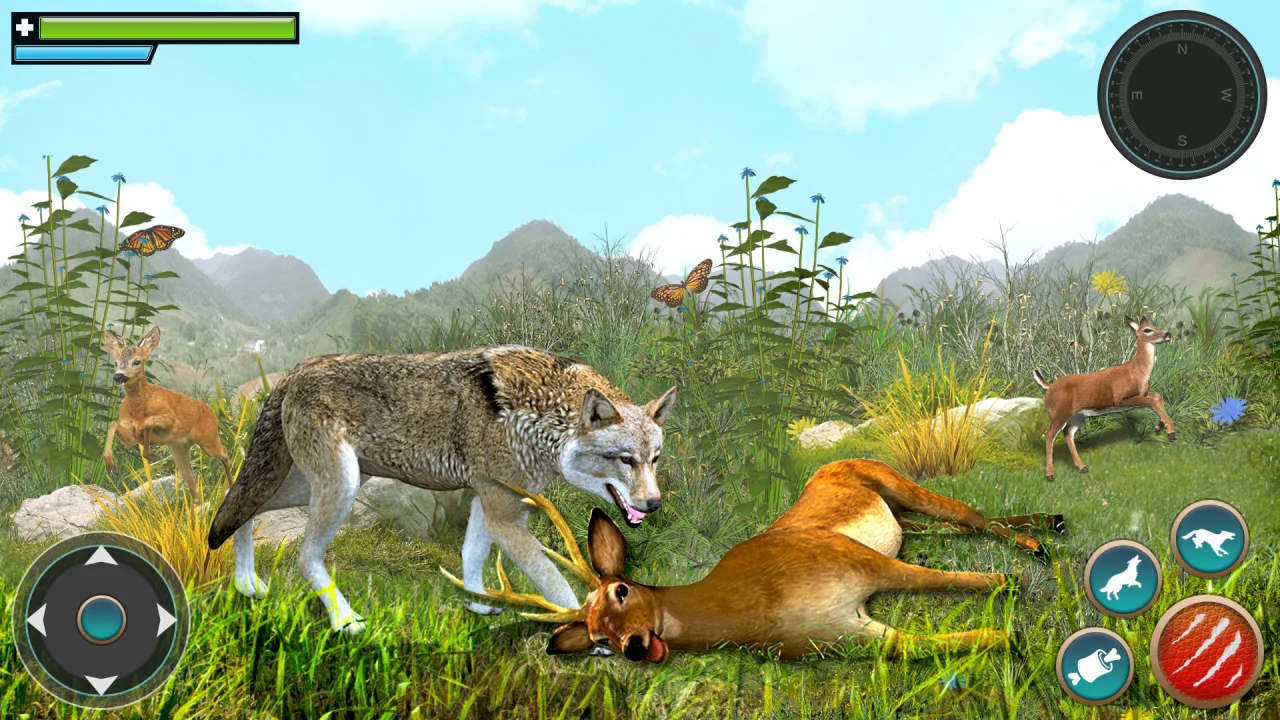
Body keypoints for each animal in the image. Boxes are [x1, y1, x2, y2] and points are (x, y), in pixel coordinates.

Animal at [207, 345, 677, 634]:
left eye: (654, 459)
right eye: (625, 460)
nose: (654, 504)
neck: (539, 418)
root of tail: (296, 369)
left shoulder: (488, 502)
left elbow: (471, 557)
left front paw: (478, 604)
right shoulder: (504, 513)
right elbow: (555, 584)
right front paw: (586, 626)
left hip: (311, 484)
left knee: (240, 507)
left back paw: (247, 584)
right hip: (340, 487)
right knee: (303, 555)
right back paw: (346, 623)